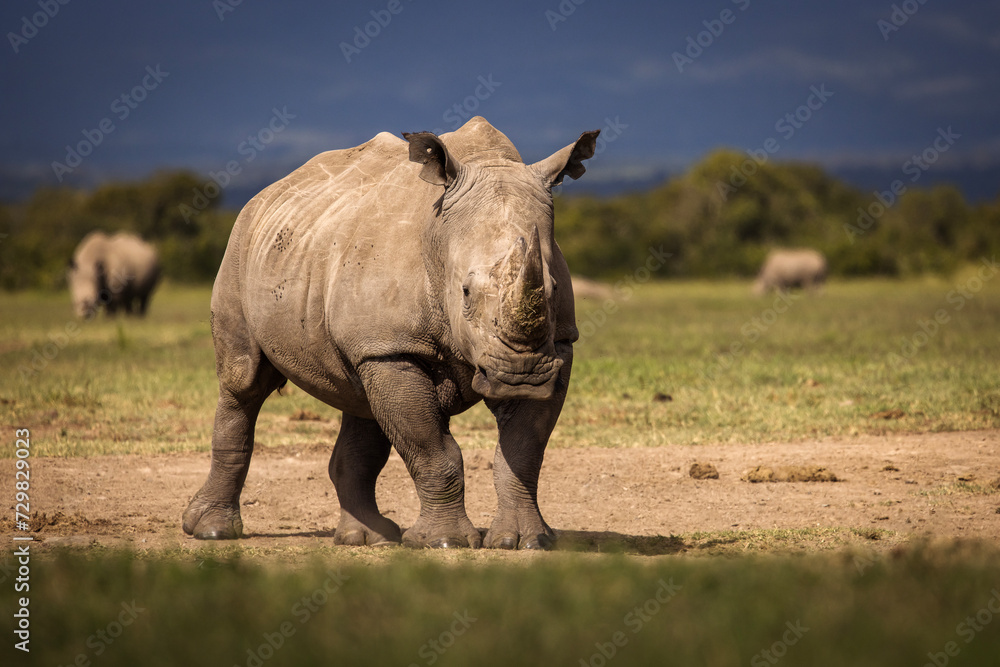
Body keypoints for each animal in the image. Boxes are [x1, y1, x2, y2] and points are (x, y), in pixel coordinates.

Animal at [183, 117, 599, 549]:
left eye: (553, 290)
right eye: (465, 292)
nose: (521, 376)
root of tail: (267, 194)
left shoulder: (558, 345)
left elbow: (522, 452)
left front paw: (524, 541)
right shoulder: (392, 348)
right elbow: (435, 452)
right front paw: (443, 542)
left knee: (361, 402)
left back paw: (367, 538)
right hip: (240, 248)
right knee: (243, 383)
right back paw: (213, 532)